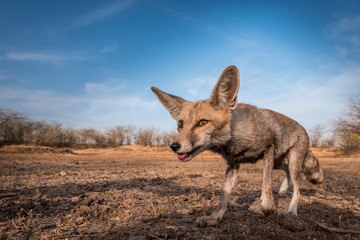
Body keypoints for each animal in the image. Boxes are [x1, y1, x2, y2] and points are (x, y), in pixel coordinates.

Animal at [150, 65, 324, 227]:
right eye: (180, 124)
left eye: (202, 122)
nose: (174, 146)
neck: (235, 140)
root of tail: (303, 129)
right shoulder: (233, 164)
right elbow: (224, 196)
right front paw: (214, 218)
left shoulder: (268, 148)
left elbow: (266, 188)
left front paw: (268, 207)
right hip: (278, 161)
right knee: (287, 171)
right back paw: (283, 189)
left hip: (291, 162)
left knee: (297, 189)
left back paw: (291, 212)